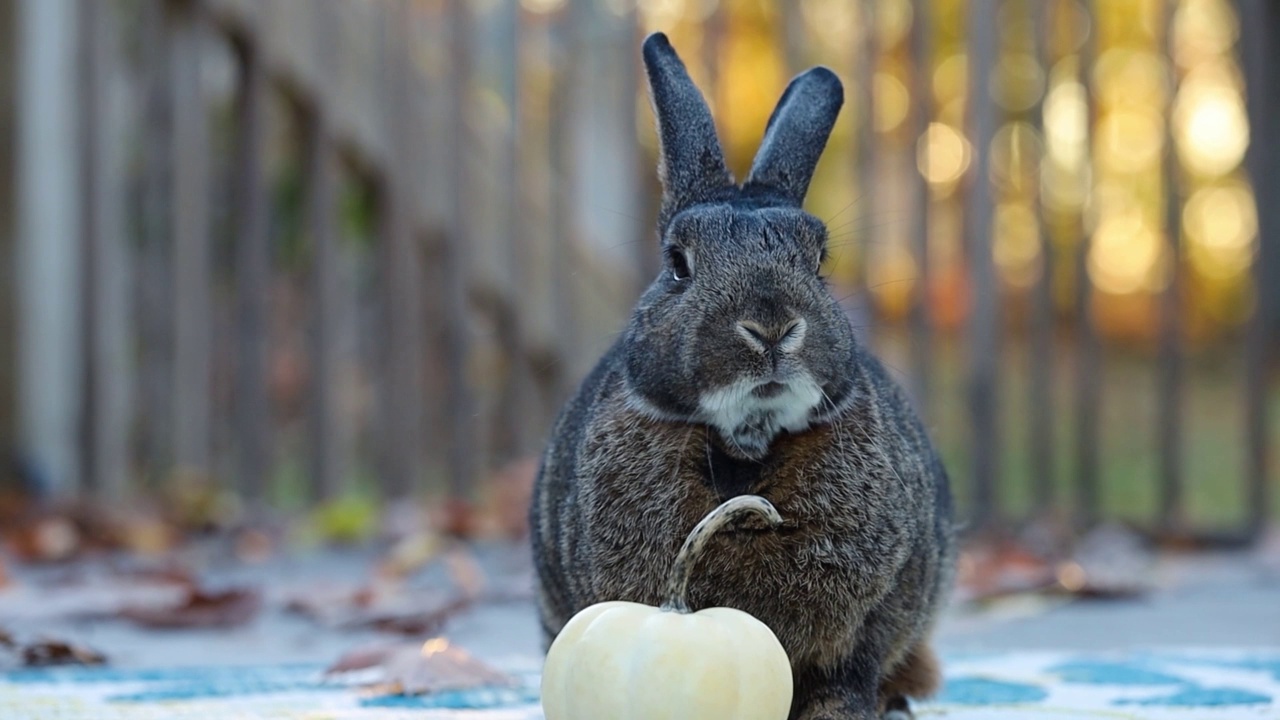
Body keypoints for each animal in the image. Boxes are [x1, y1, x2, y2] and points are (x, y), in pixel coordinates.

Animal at [524, 33, 957, 717]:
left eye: (819, 258)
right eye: (678, 264)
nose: (771, 327)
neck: (746, 444)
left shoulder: (873, 616)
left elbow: (848, 674)